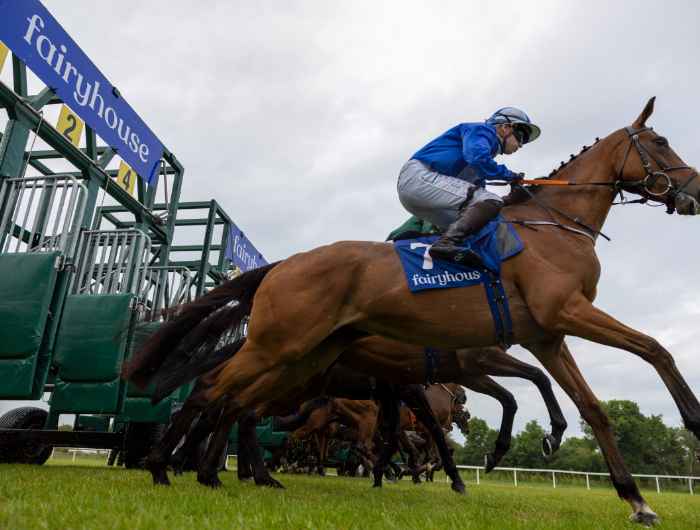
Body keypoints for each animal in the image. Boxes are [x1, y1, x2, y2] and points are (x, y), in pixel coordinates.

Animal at [123, 99, 696, 524]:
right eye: (660, 143)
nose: (693, 190)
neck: (554, 227)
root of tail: (284, 264)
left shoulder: (546, 335)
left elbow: (592, 408)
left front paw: (635, 499)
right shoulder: (562, 315)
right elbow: (654, 348)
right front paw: (692, 418)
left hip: (305, 359)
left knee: (235, 401)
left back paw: (216, 472)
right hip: (278, 346)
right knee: (211, 389)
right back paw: (166, 466)